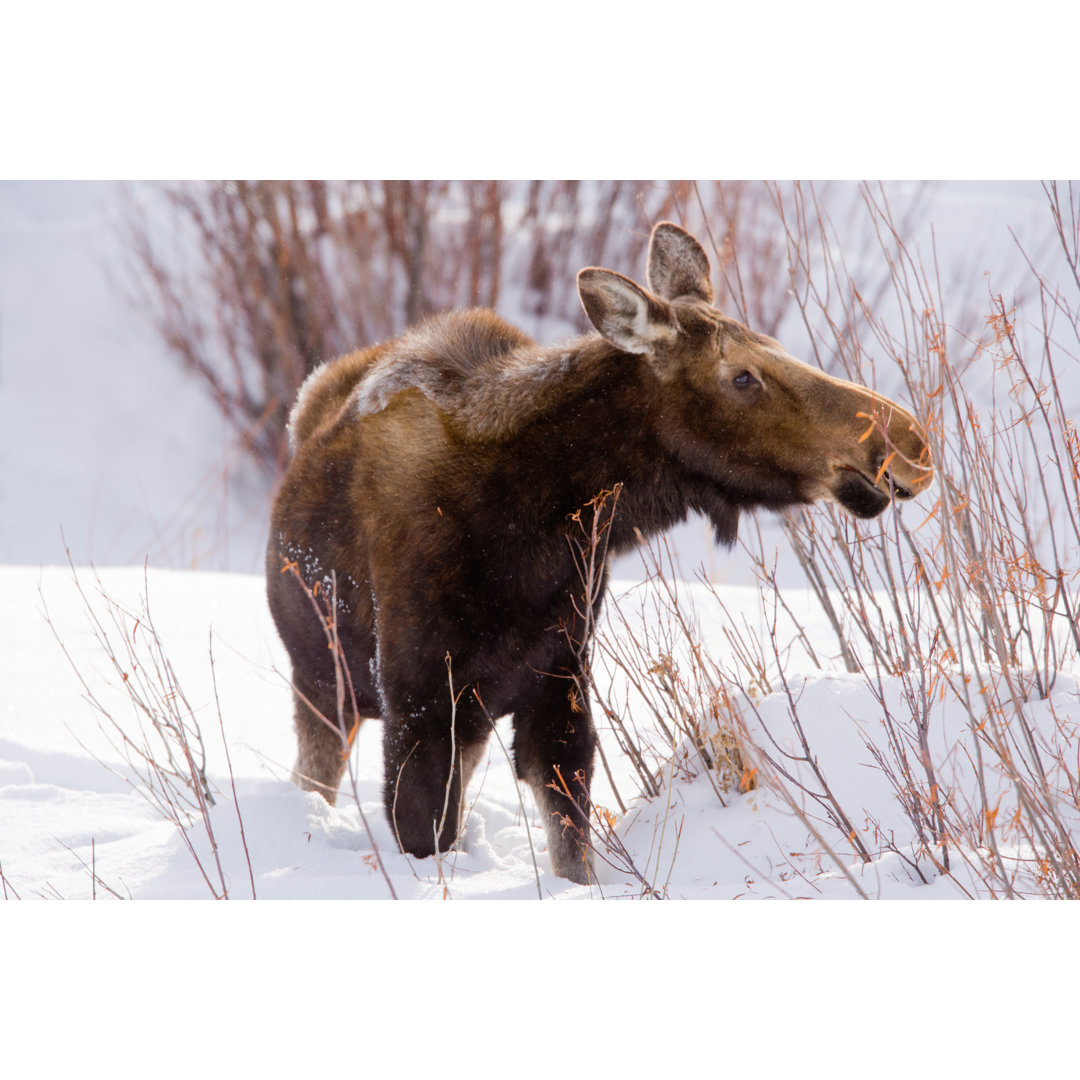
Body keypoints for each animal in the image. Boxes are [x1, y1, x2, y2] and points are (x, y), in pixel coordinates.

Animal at [265, 221, 933, 885]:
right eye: (742, 375)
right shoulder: (419, 704)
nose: (908, 442)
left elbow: (573, 850)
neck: (534, 526)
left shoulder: (556, 681)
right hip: (324, 684)